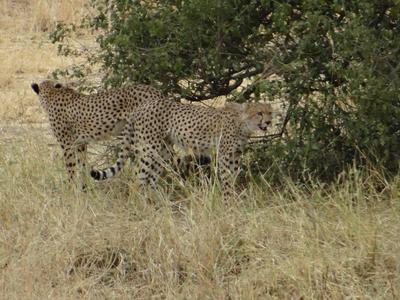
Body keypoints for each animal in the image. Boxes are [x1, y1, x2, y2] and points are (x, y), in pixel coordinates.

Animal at [30, 80, 166, 183]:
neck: (52, 94)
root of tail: (156, 91)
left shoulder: (67, 144)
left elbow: (71, 168)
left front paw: (71, 188)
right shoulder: (80, 143)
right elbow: (82, 166)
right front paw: (84, 189)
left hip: (146, 140)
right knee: (161, 164)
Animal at [90, 99, 272, 196]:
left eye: (270, 112)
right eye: (259, 113)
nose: (269, 122)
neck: (243, 123)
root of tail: (140, 107)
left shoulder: (235, 155)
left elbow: (232, 178)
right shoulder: (225, 156)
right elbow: (227, 180)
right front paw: (229, 202)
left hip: (161, 151)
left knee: (151, 180)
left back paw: (157, 204)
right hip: (149, 150)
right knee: (138, 179)